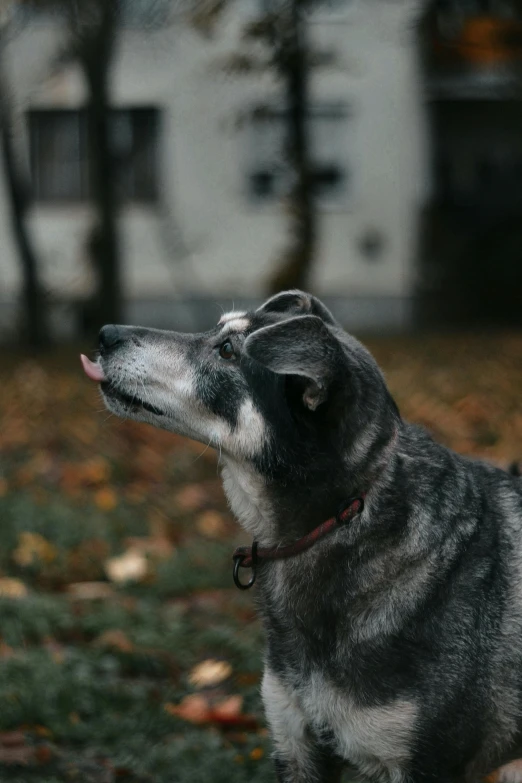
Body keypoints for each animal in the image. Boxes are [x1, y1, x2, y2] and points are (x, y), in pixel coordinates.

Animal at [81, 290, 520, 783]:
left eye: (228, 351)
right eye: (217, 331)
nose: (106, 333)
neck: (341, 518)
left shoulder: (424, 764)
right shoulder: (295, 743)